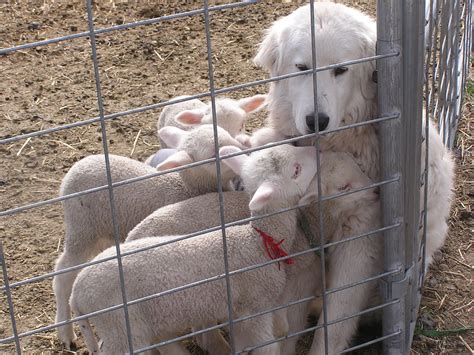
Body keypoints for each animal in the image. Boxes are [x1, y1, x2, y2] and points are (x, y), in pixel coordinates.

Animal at [54, 124, 246, 350]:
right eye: (213, 154)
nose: (245, 149)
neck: (189, 188)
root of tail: (75, 168)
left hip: (100, 232)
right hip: (82, 228)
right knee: (63, 274)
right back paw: (65, 331)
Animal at [70, 145, 324, 355]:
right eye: (296, 170)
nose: (315, 149)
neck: (258, 242)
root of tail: (78, 292)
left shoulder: (239, 312)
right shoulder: (256, 307)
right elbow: (267, 346)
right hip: (121, 327)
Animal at [252, 1, 456, 354]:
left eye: (341, 70)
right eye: (302, 67)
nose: (316, 121)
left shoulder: (360, 240)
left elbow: (335, 321)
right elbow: (289, 321)